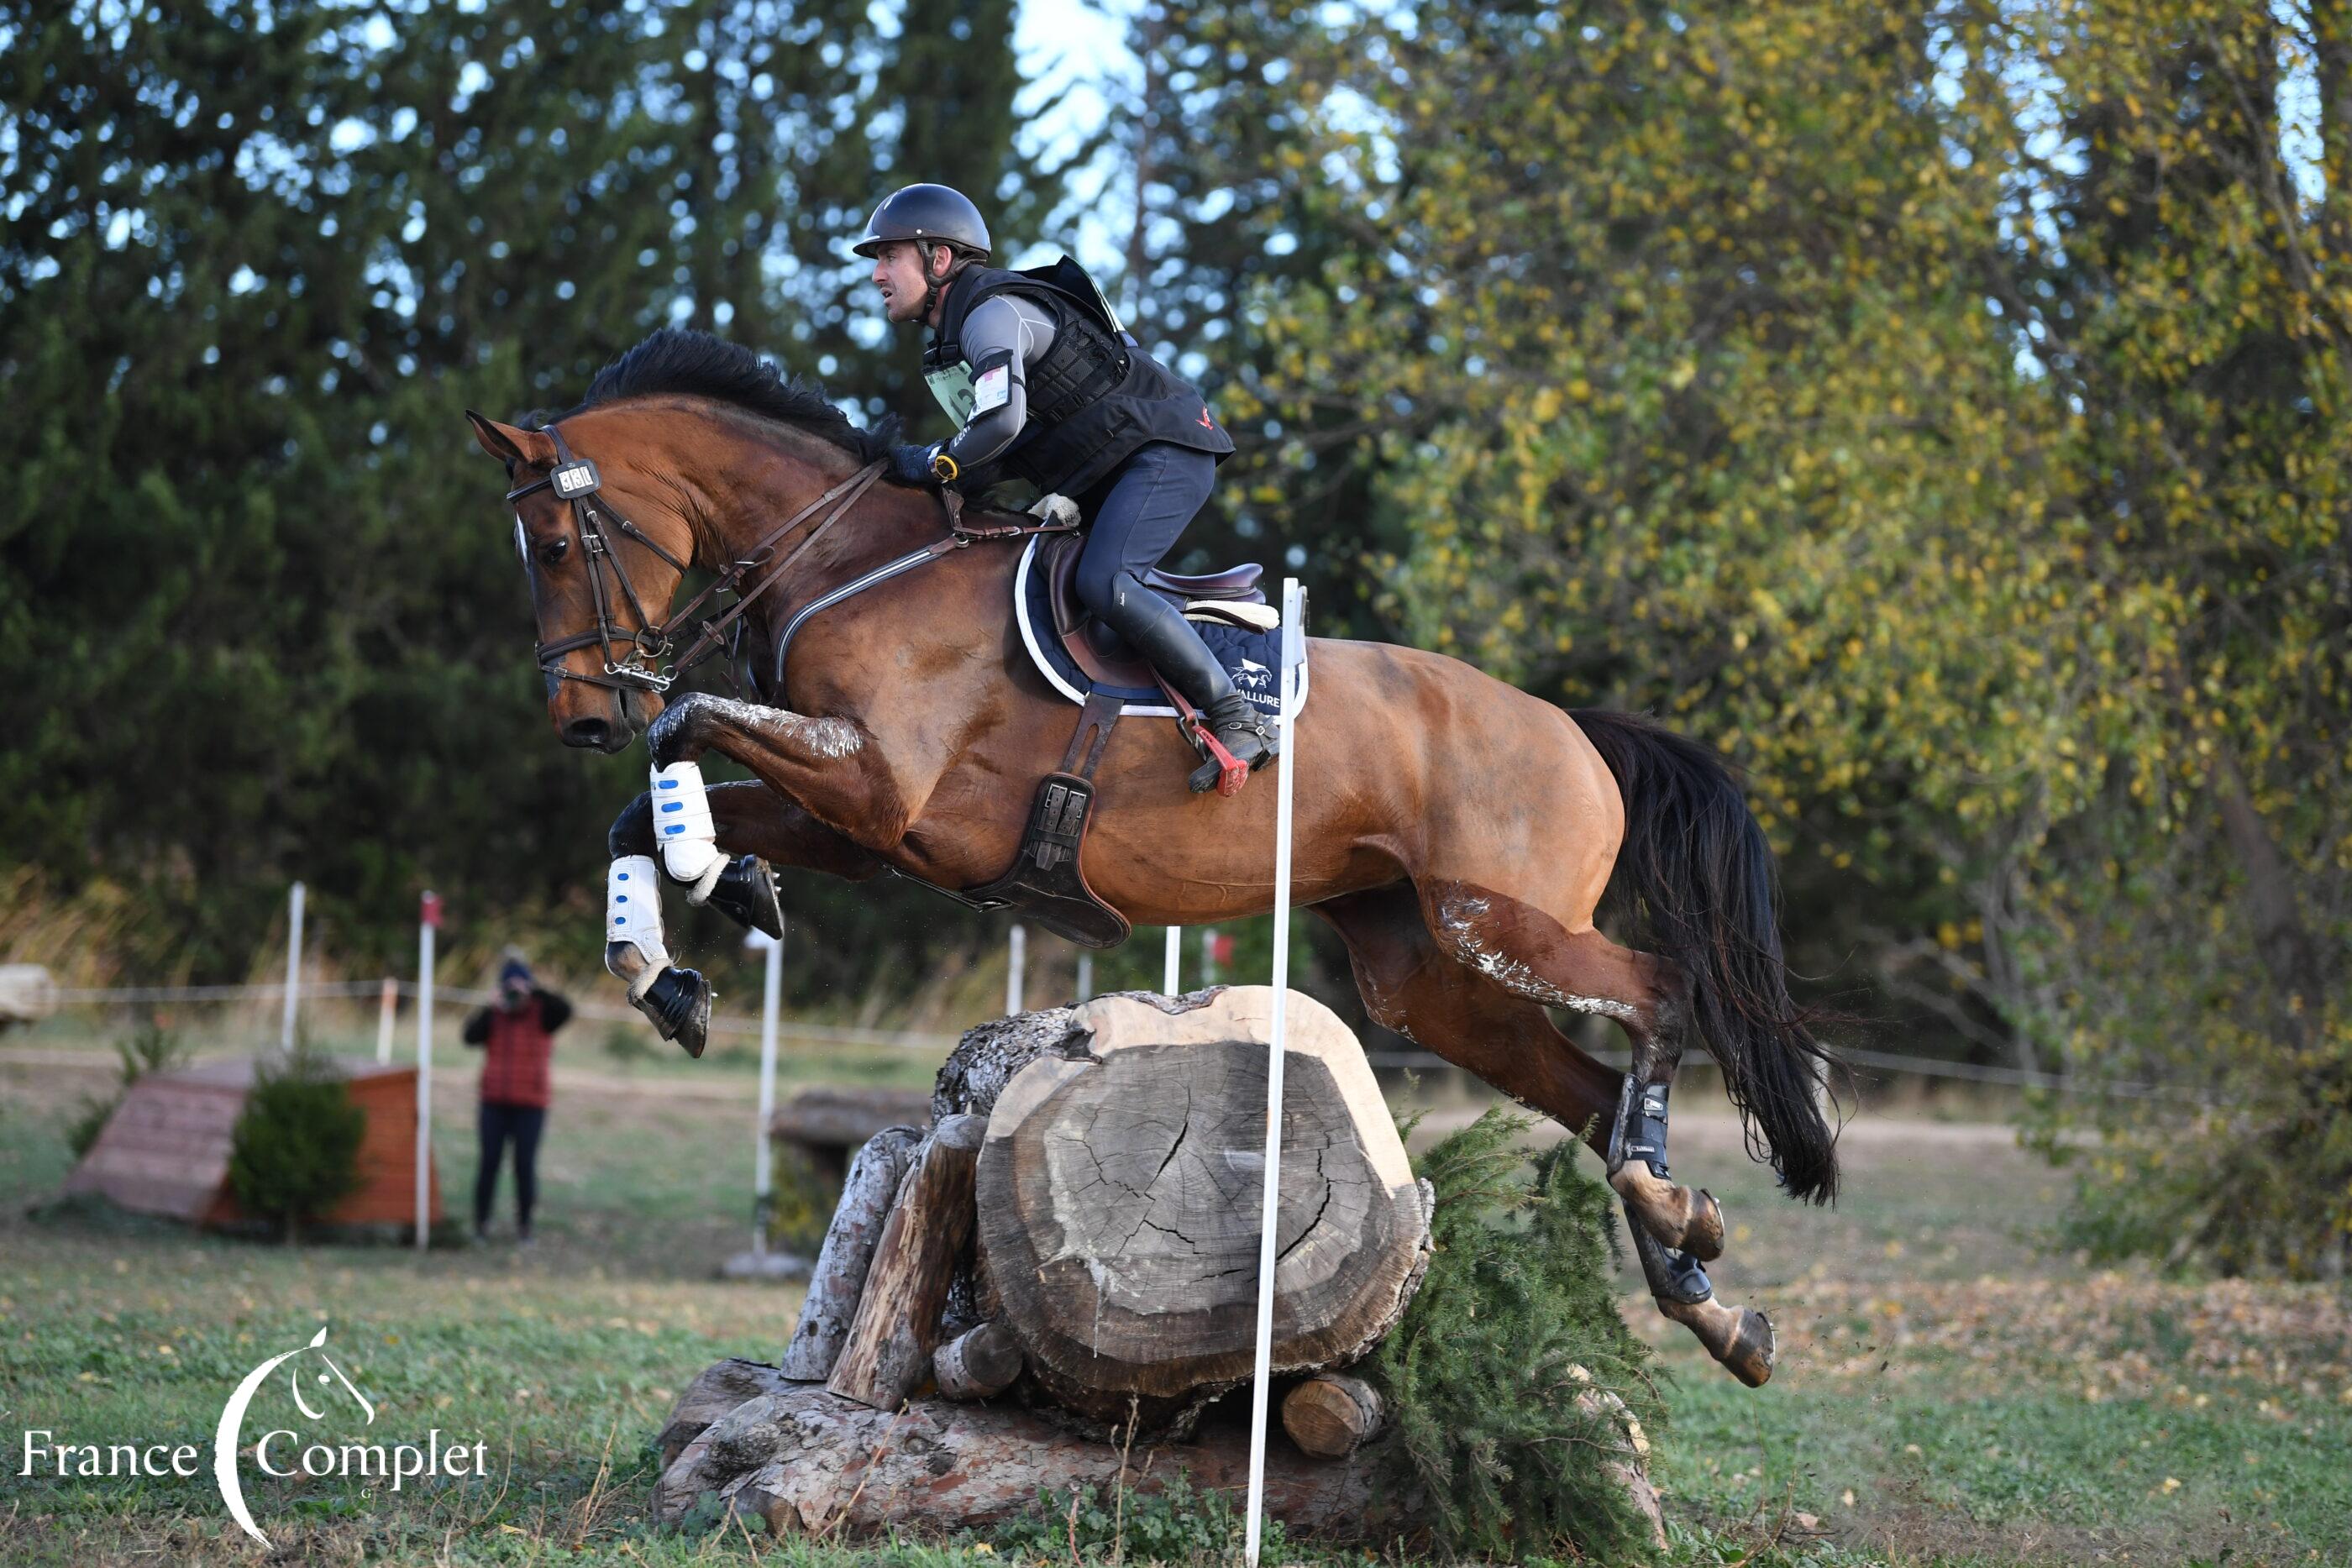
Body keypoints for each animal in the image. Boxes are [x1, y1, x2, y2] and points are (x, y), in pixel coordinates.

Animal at [467, 328, 1838, 1386]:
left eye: (557, 547)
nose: (580, 715)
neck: (853, 563)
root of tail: (1570, 724)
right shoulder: (859, 825)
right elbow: (641, 812)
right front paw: (671, 970)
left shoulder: (876, 787)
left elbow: (684, 725)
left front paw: (710, 872)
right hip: (1425, 973)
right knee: (1598, 1095)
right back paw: (1710, 1298)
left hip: (1493, 917)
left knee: (1661, 994)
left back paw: (1676, 1215)